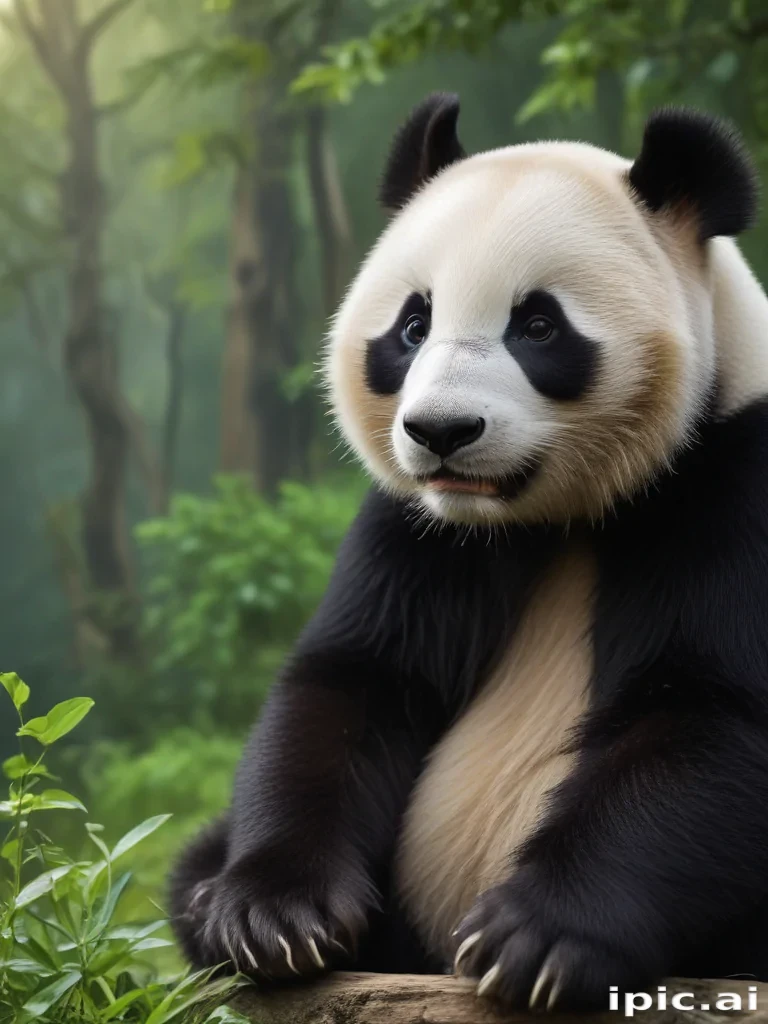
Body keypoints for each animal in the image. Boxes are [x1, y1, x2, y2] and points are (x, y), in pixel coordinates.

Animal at [171, 93, 768, 1010]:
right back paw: (208, 905)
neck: (554, 516)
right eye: (413, 325)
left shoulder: (734, 478)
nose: (442, 431)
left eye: (538, 325)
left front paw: (538, 941)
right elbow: (352, 683)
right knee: (194, 860)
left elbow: (708, 716)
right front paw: (273, 917)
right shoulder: (419, 531)